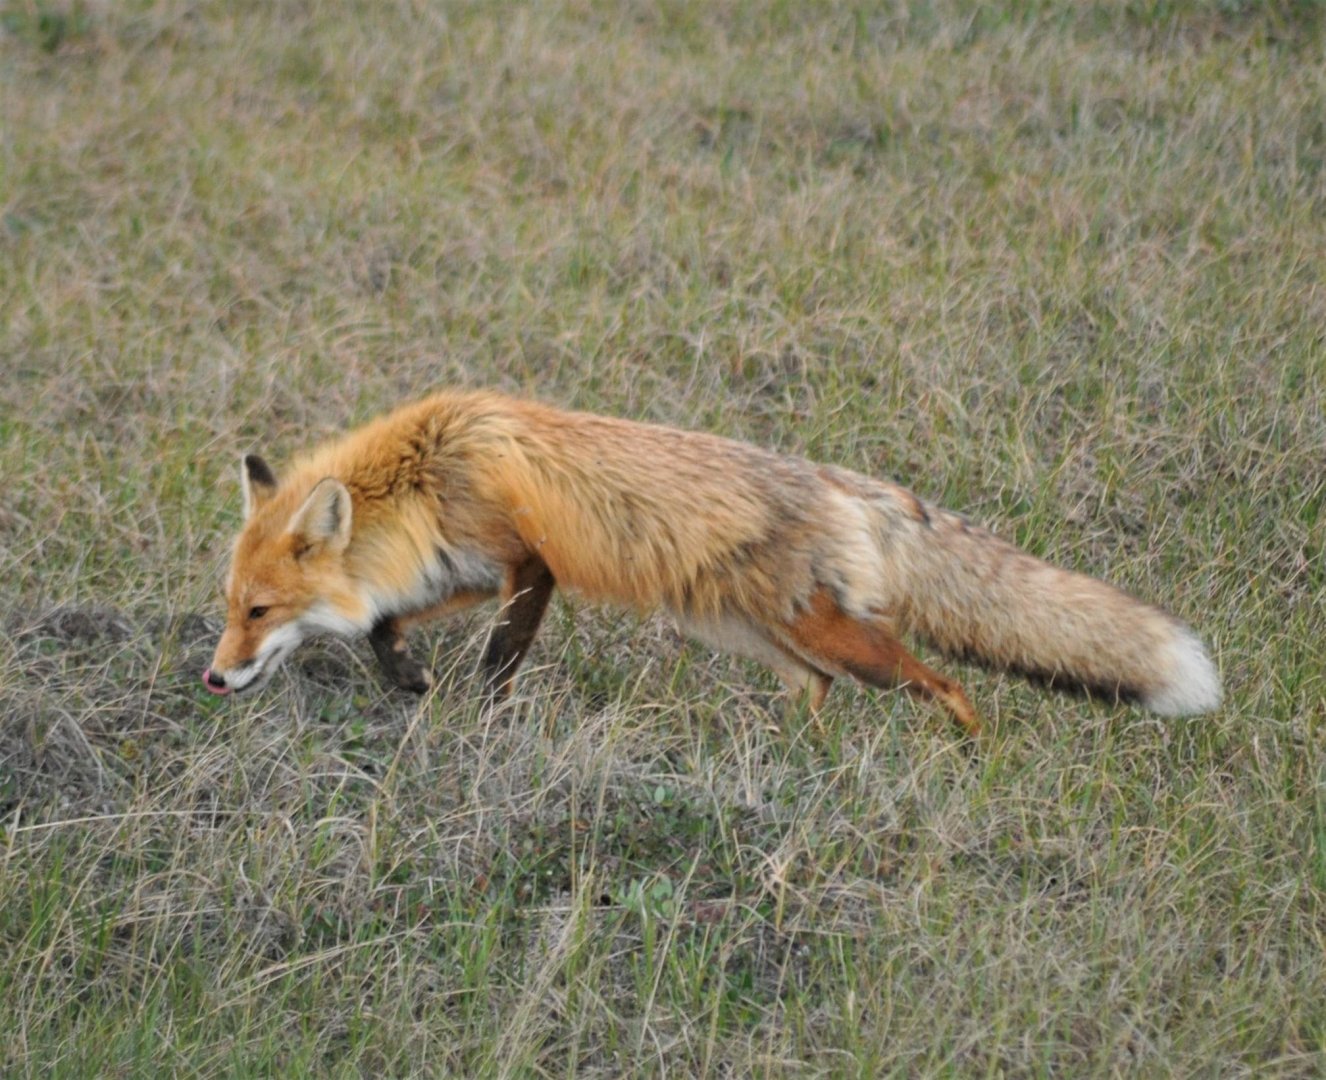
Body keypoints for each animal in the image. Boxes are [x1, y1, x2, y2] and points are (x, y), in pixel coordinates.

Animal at [202, 390, 1222, 734]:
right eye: (230, 606)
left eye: (258, 613)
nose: (212, 678)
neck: (425, 472)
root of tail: (847, 484)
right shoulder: (463, 571)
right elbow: (382, 620)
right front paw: (408, 677)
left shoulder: (526, 566)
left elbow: (495, 664)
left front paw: (476, 721)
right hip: (746, 632)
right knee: (816, 691)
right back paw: (798, 763)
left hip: (838, 638)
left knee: (950, 689)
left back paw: (964, 762)